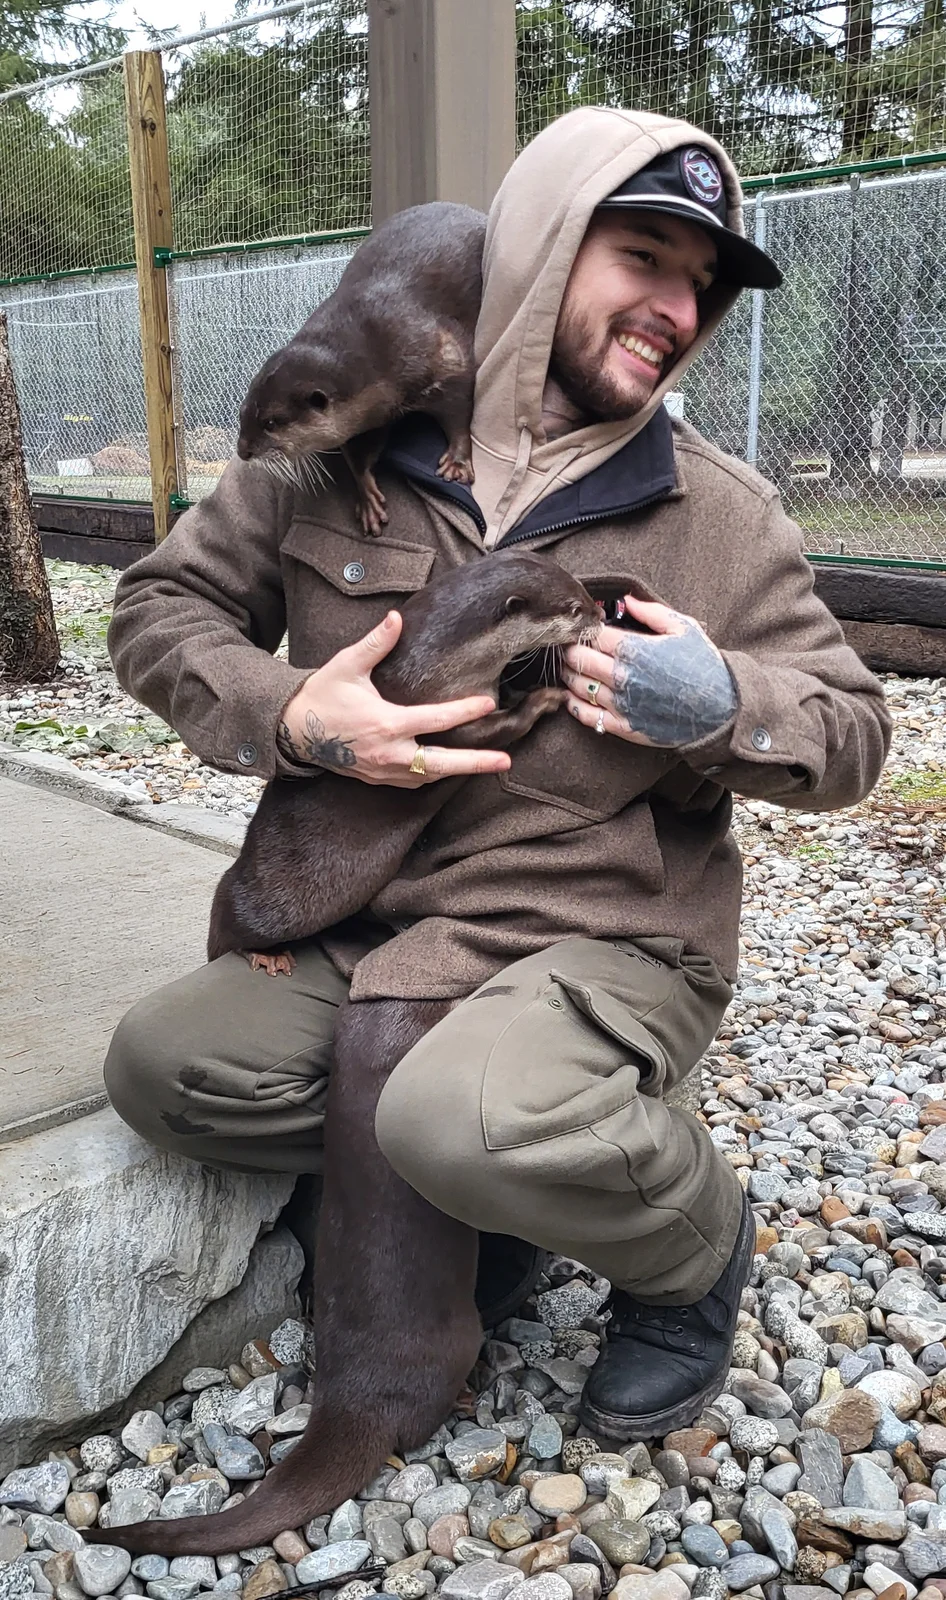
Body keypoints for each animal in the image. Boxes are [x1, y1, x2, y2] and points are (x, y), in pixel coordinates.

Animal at [237, 202, 486, 536]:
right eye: (243, 412)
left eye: (272, 422)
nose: (243, 451)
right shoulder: (365, 415)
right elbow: (358, 451)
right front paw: (367, 497)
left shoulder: (442, 354)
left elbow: (460, 407)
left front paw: (458, 462)